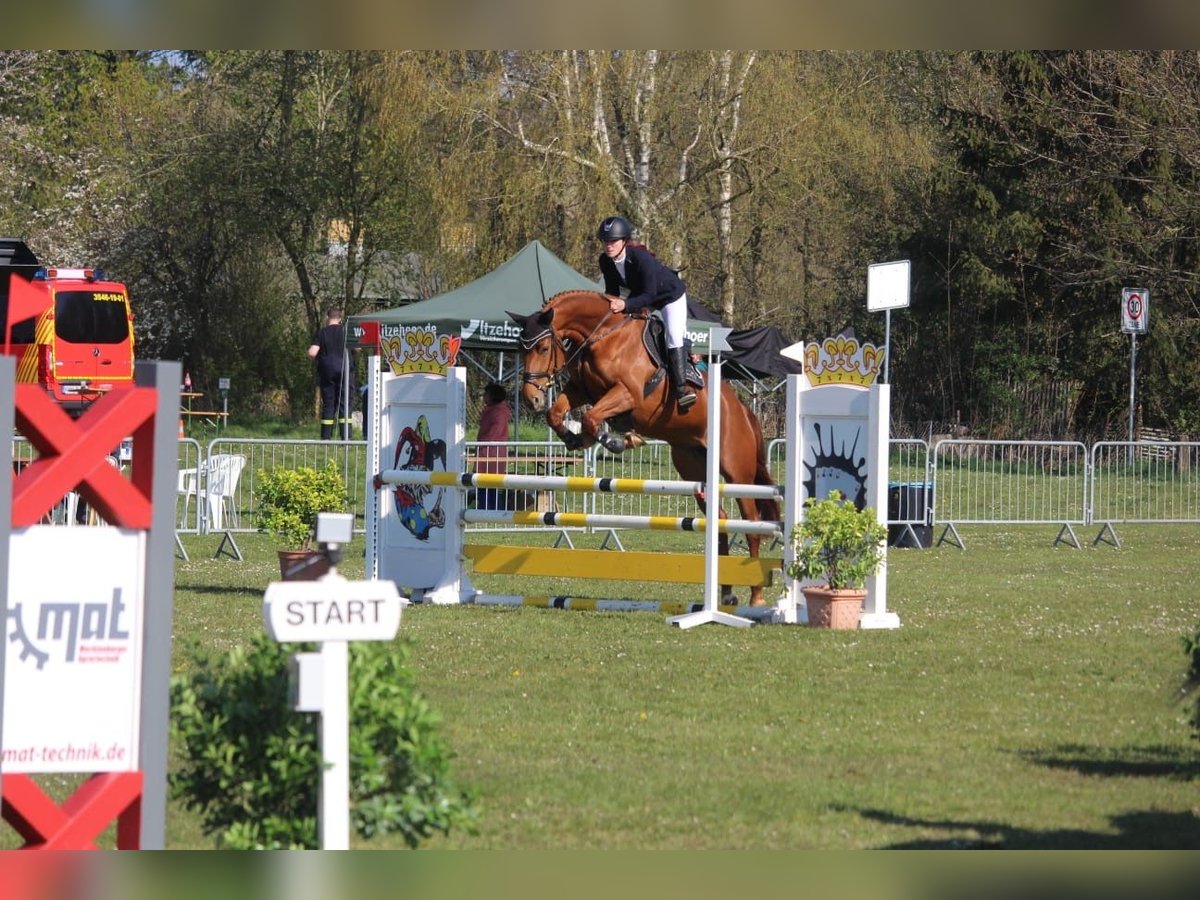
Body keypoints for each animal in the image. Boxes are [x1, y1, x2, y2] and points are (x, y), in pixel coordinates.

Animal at [504, 292, 777, 609]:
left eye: (544, 347)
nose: (531, 399)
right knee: (719, 520)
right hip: (694, 468)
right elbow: (557, 414)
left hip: (737, 472)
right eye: (519, 348)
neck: (603, 335)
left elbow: (592, 417)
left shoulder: (627, 393)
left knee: (753, 525)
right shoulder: (581, 390)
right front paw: (576, 438)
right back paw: (727, 593)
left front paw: (616, 440)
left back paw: (756, 597)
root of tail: (744, 412)